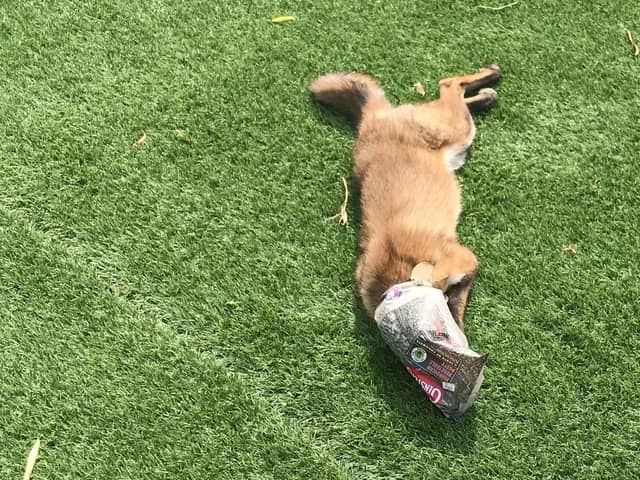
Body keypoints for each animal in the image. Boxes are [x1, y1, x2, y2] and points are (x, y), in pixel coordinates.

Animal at [308, 65, 502, 328]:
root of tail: (370, 119)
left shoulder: (465, 260)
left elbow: (455, 304)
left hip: (456, 129)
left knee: (449, 83)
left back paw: (491, 74)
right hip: (456, 136)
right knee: (452, 91)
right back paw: (486, 95)